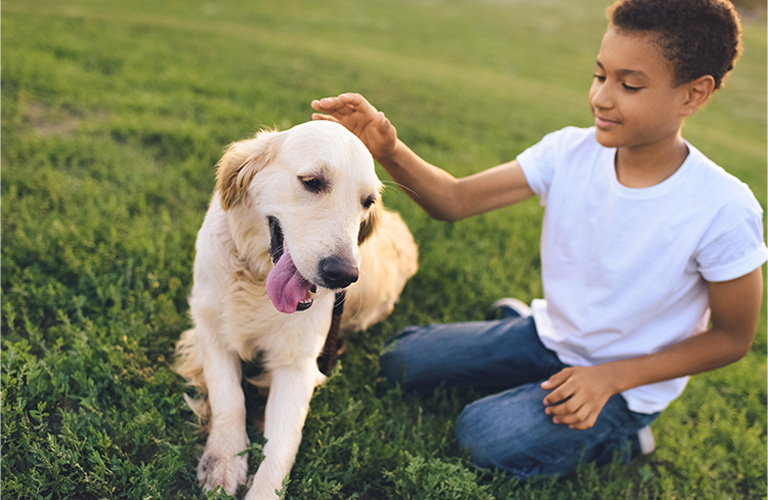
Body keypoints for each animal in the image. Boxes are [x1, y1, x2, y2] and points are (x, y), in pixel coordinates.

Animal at [173, 119, 416, 498]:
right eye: (312, 182)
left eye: (367, 202)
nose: (342, 274)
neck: (255, 279)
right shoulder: (209, 328)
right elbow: (229, 396)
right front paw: (224, 460)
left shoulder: (297, 367)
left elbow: (280, 449)